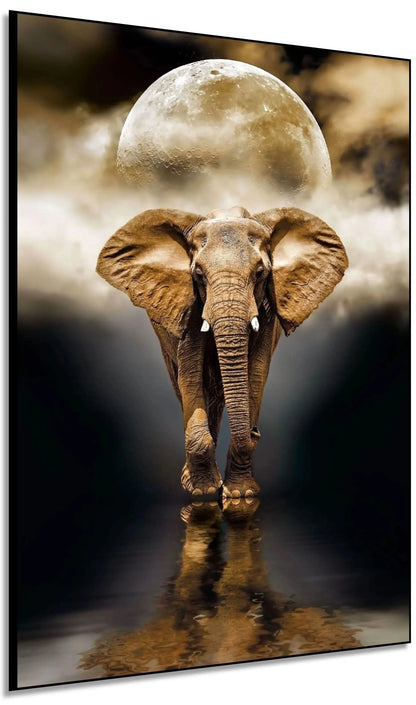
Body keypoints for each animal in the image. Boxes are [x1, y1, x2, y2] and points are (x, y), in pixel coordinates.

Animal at [97, 205, 348, 498]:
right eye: (198, 274)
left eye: (260, 273)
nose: (256, 431)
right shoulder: (190, 305)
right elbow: (190, 373)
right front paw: (202, 492)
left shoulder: (267, 309)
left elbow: (256, 372)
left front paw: (240, 495)